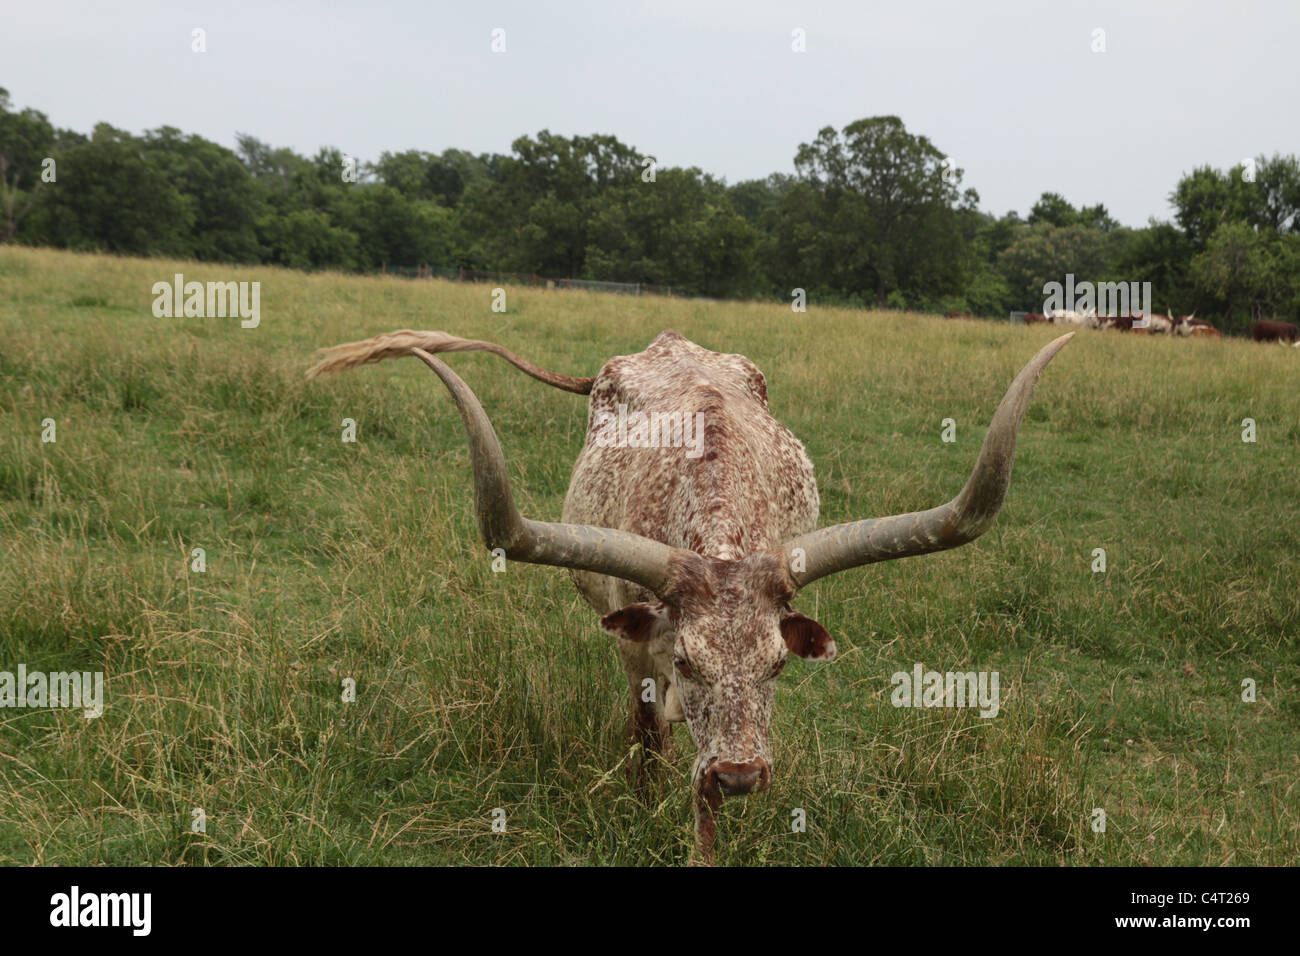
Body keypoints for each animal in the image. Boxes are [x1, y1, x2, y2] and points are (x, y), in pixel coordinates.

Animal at [308, 328, 1073, 862]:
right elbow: (651, 737)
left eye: (777, 665)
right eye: (685, 660)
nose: (740, 776)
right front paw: (653, 807)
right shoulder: (642, 650)